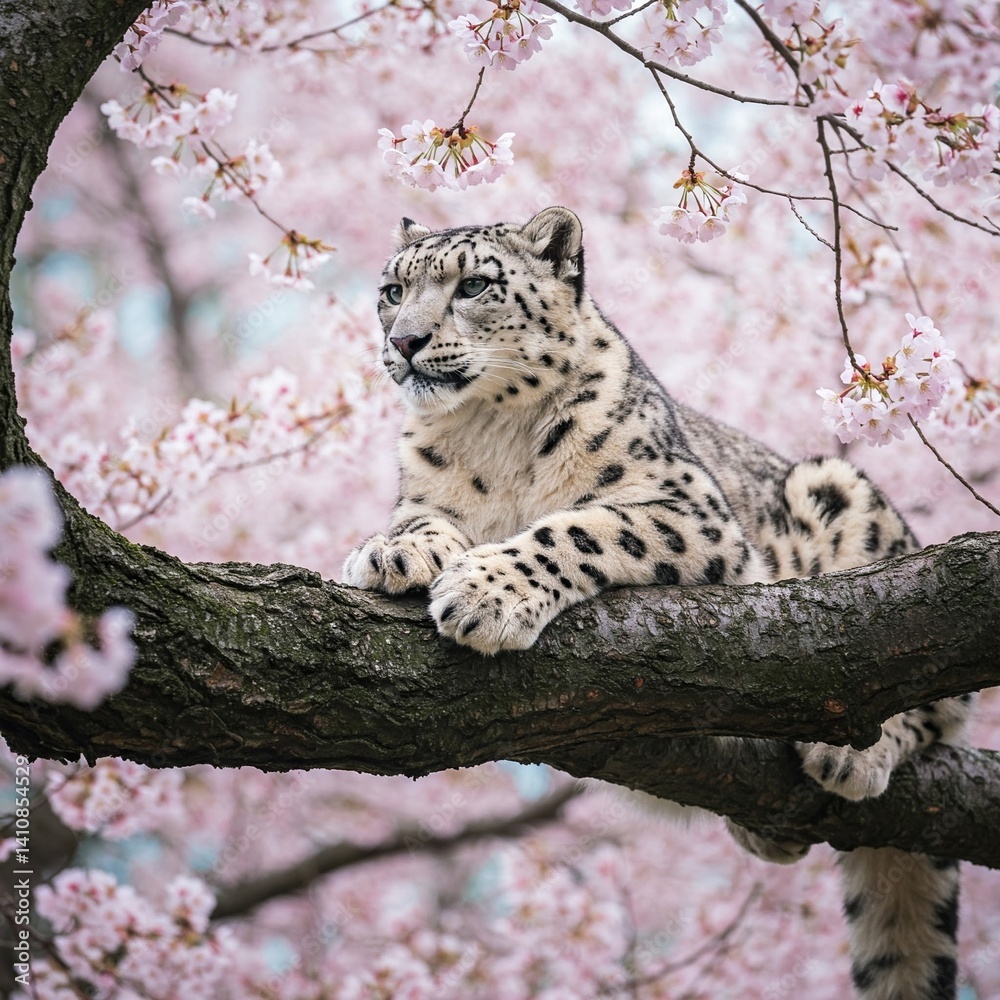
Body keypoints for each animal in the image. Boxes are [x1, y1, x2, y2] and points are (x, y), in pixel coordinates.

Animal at [342, 206, 975, 1000]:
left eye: (476, 285)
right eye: (393, 291)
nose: (404, 341)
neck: (488, 434)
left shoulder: (689, 513)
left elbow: (579, 526)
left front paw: (484, 594)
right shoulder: (424, 494)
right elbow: (419, 519)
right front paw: (393, 554)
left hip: (847, 502)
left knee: (933, 698)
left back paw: (848, 751)